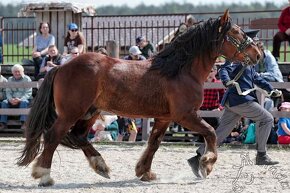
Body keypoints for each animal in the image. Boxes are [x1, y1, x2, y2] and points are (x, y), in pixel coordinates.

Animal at [16, 9, 260, 186]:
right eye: (236, 33)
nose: (257, 54)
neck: (179, 71)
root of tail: (61, 67)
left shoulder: (164, 118)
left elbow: (154, 143)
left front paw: (145, 172)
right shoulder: (185, 116)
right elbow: (211, 132)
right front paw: (207, 163)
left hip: (90, 112)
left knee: (78, 136)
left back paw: (101, 166)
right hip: (72, 113)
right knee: (54, 136)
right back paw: (44, 175)